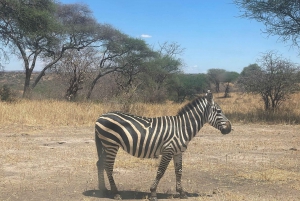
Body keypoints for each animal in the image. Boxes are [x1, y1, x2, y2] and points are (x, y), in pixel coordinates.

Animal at [95, 90, 231, 200]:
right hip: (111, 144)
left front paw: (181, 192)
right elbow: (161, 171)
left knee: (100, 163)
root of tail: (100, 117)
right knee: (108, 166)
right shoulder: (168, 150)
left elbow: (179, 171)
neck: (182, 128)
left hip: (105, 145)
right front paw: (153, 193)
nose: (229, 129)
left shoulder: (178, 152)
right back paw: (116, 193)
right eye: (219, 111)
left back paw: (103, 190)